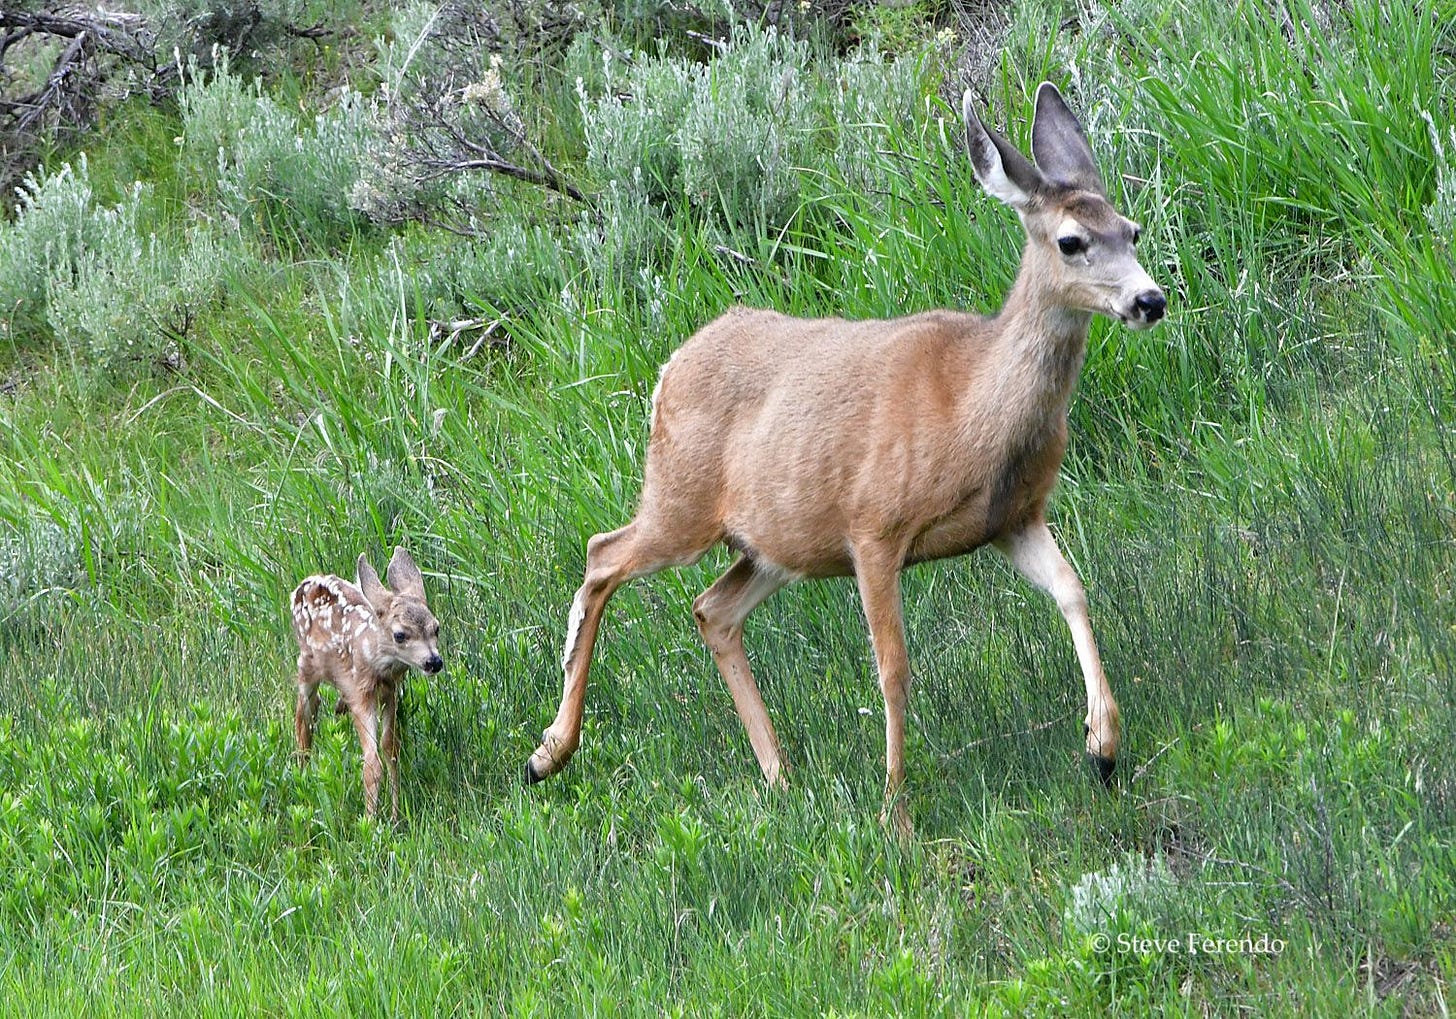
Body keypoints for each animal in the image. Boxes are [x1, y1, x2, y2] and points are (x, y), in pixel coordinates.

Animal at [291, 547, 443, 820]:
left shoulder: (390, 692)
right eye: (400, 635)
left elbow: (391, 749)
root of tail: (305, 582)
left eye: (436, 628)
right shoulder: (359, 693)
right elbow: (371, 762)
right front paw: (372, 822)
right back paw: (302, 773)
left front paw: (395, 814)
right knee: (305, 714)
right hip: (306, 666)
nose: (434, 661)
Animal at [525, 82, 1166, 833]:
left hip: (777, 542)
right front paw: (895, 809)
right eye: (1071, 240)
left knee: (712, 608)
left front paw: (1103, 744)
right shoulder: (875, 524)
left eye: (1131, 230)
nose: (1150, 299)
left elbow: (1073, 588)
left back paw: (780, 777)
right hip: (680, 501)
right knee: (602, 555)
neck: (972, 406)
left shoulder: (1012, 517)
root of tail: (667, 371)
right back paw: (548, 752)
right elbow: (893, 667)